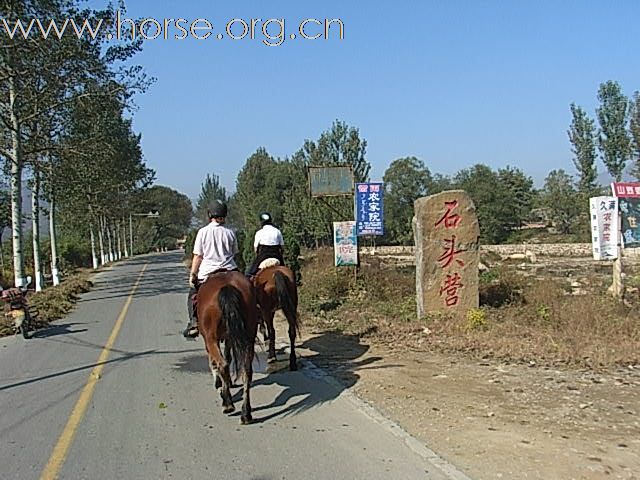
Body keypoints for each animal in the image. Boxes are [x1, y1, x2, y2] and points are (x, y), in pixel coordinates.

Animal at [198, 270, 258, 424]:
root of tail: (227, 287)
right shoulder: (230, 337)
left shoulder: (209, 340)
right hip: (248, 336)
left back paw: (228, 404)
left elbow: (214, 362)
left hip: (211, 339)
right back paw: (246, 413)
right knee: (246, 371)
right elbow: (228, 356)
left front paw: (219, 385)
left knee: (222, 364)